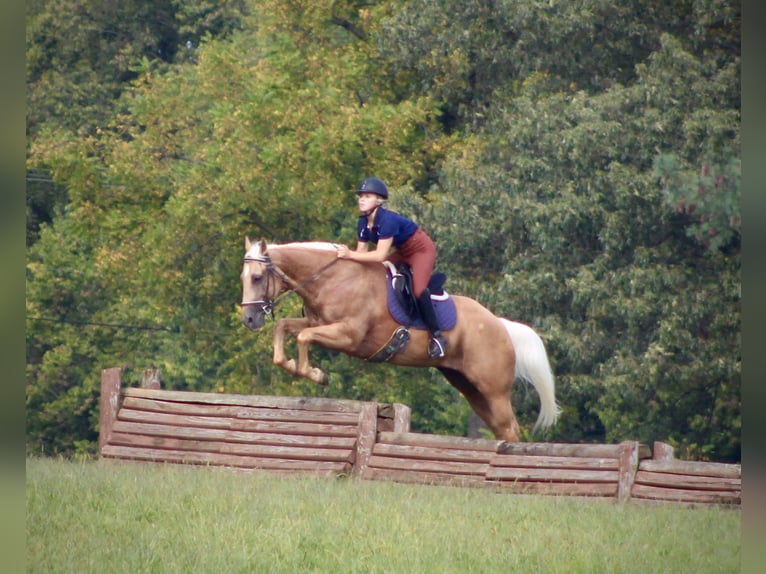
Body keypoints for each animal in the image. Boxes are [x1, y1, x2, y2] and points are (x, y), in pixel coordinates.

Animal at [240, 238, 560, 443]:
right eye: (244, 277)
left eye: (257, 278)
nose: (249, 320)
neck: (332, 279)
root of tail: (501, 325)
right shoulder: (319, 324)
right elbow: (283, 328)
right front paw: (293, 366)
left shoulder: (348, 335)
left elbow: (304, 337)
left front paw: (315, 374)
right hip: (470, 387)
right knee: (500, 428)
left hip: (493, 389)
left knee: (510, 428)